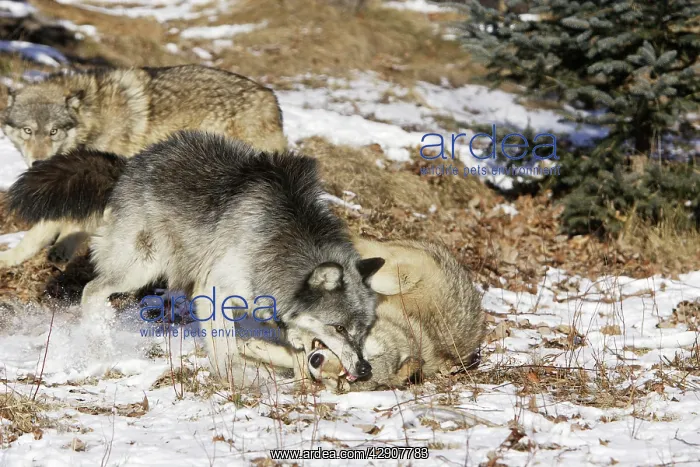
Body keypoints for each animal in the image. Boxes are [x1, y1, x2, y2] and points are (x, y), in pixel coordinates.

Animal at [0, 64, 286, 269]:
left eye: (53, 131)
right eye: (27, 131)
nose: (38, 162)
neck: (92, 117)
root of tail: (271, 98)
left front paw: (63, 249)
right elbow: (38, 231)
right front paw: (10, 258)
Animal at [6, 130, 384, 386]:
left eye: (364, 330)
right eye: (339, 328)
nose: (365, 370)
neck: (278, 237)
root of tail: (129, 165)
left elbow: (297, 349)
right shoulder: (213, 293)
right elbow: (228, 351)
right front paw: (238, 384)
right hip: (142, 267)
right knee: (91, 290)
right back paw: (99, 343)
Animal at [239, 237, 486, 392]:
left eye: (343, 379)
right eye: (361, 355)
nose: (317, 361)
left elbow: (295, 357)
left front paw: (253, 348)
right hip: (400, 273)